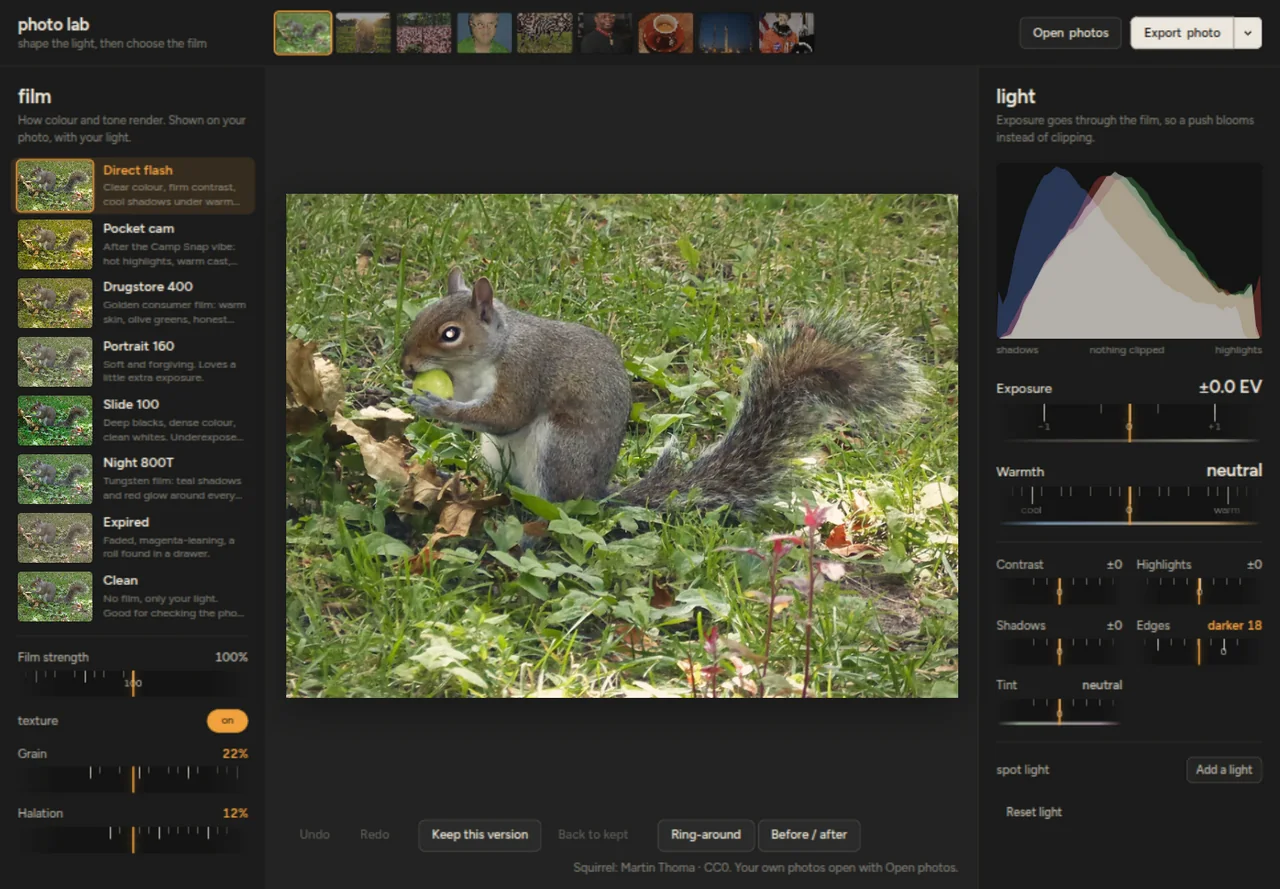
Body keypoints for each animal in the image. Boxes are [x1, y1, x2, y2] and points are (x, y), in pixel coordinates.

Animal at [401, 267, 921, 513]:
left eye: (450, 334)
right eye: (419, 314)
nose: (406, 367)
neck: (486, 357)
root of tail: (598, 492)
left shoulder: (524, 373)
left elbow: (505, 414)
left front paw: (436, 406)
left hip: (560, 452)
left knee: (556, 508)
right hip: (500, 458)